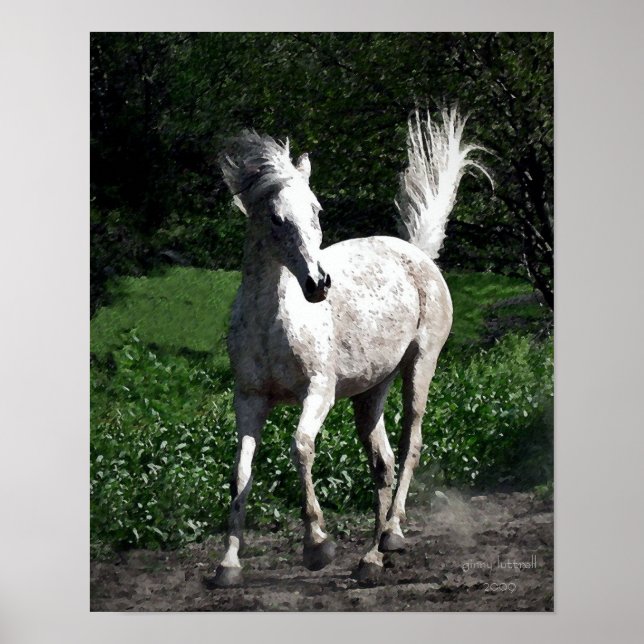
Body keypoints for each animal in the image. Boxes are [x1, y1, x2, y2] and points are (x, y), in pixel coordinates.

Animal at [211, 108, 490, 586]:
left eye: (317, 209)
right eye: (276, 219)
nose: (318, 283)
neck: (273, 323)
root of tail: (417, 254)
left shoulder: (319, 392)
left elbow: (300, 448)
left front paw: (317, 546)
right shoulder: (249, 400)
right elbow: (240, 473)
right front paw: (229, 564)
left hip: (421, 366)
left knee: (411, 444)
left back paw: (391, 536)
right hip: (370, 392)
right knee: (382, 462)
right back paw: (371, 557)